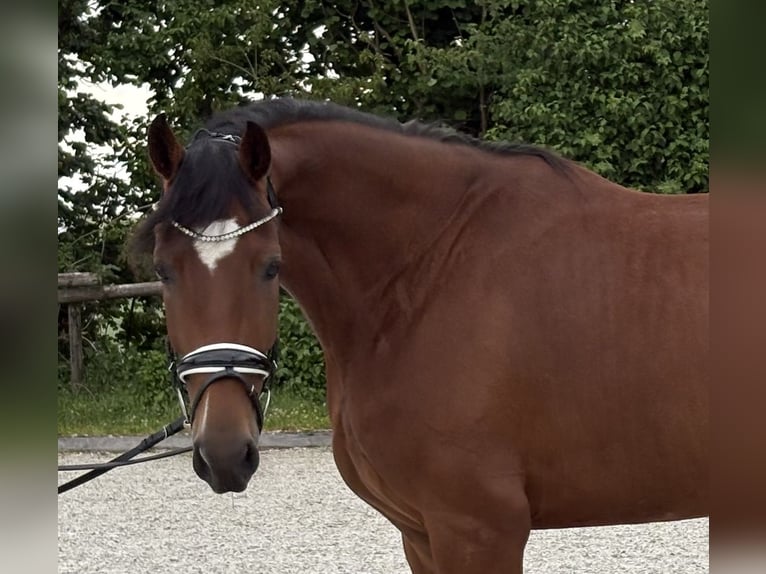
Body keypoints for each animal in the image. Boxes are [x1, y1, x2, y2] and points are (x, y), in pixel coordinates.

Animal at [131, 97, 708, 573]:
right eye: (163, 270)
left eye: (270, 266)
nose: (224, 452)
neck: (429, 270)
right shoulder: (421, 534)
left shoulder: (478, 529)